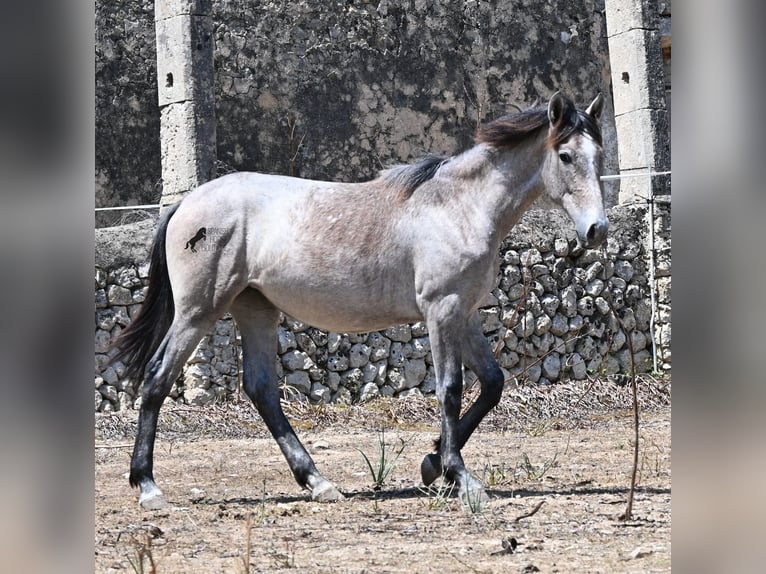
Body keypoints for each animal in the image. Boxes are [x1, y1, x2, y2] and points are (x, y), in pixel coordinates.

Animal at [111, 92, 607, 510]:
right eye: (565, 156)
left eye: (599, 156)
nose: (597, 230)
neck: (459, 206)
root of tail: (185, 204)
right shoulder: (442, 310)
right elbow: (450, 390)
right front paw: (461, 477)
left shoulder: (464, 315)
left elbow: (492, 384)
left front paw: (433, 466)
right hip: (198, 312)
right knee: (156, 378)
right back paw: (149, 488)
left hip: (254, 308)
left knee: (262, 389)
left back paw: (318, 482)